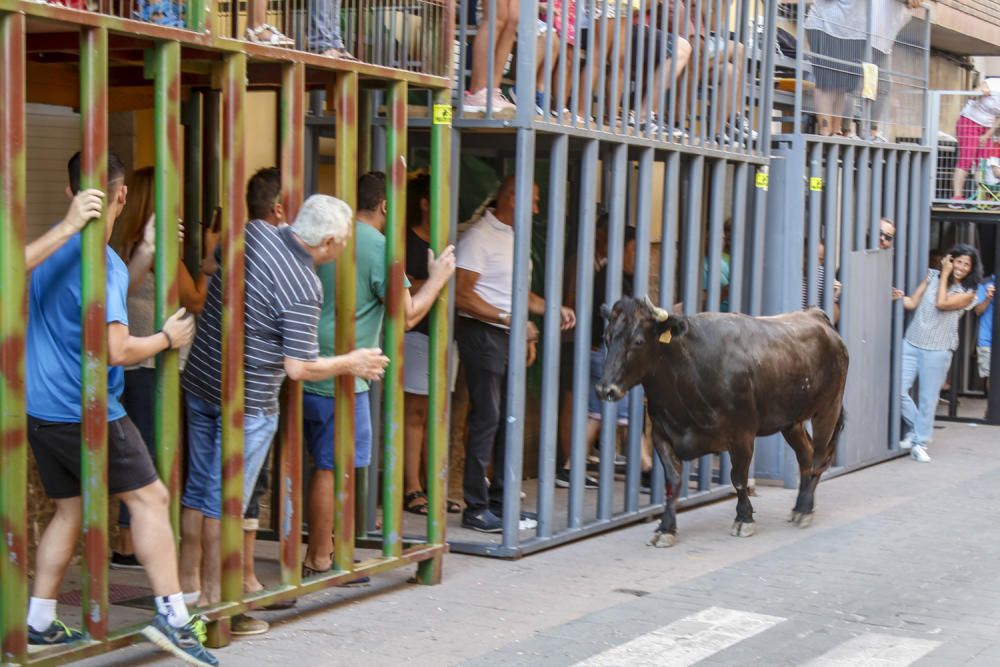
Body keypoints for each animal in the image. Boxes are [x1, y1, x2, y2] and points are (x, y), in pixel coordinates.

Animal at [596, 298, 848, 548]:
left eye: (638, 341)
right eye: (606, 337)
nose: (605, 389)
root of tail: (816, 316)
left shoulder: (742, 435)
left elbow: (739, 479)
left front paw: (744, 519)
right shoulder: (662, 435)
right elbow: (672, 481)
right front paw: (665, 528)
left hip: (828, 409)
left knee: (818, 458)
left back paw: (805, 509)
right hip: (791, 421)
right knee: (806, 455)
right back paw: (799, 507)